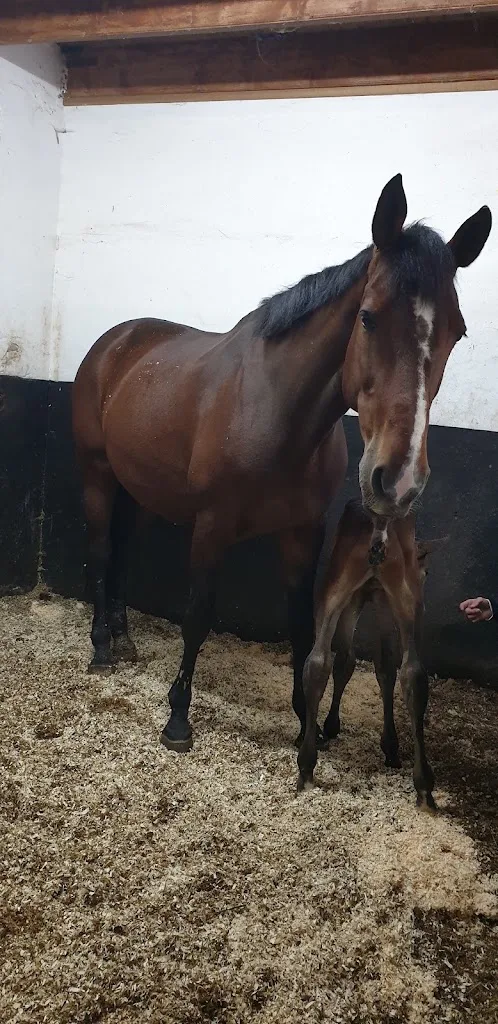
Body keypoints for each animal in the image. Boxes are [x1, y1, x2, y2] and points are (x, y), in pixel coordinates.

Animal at [72, 174, 491, 755]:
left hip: (138, 488)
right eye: (367, 317)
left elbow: (301, 622)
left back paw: (123, 636)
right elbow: (197, 614)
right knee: (102, 550)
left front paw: (302, 719)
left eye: (458, 331)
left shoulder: (302, 531)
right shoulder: (212, 526)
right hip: (96, 475)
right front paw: (178, 718)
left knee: (124, 552)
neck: (275, 413)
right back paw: (101, 648)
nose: (398, 479)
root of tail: (116, 341)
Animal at [297, 498, 447, 807]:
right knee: (413, 672)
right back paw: (423, 783)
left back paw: (306, 766)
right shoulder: (383, 600)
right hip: (405, 599)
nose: (424, 576)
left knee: (317, 662)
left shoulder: (363, 597)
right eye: (426, 571)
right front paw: (388, 745)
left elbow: (348, 661)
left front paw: (332, 725)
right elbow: (383, 667)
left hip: (333, 589)